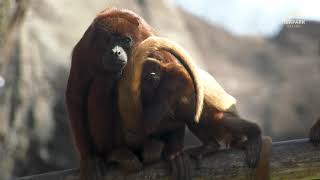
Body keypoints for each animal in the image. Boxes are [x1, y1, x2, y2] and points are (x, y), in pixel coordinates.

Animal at [65, 7, 154, 179]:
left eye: (125, 40)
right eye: (109, 40)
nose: (115, 52)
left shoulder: (149, 39)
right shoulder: (84, 48)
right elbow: (76, 96)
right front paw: (88, 158)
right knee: (104, 81)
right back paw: (116, 154)